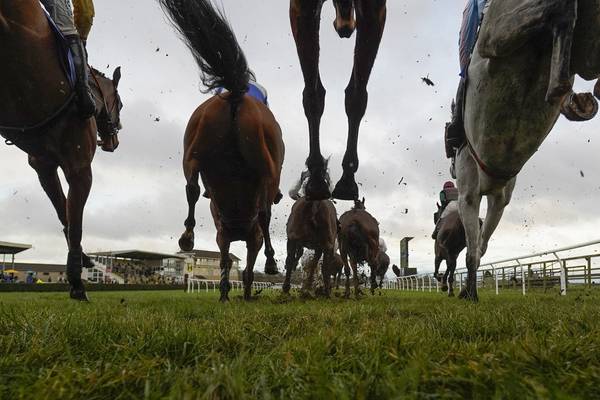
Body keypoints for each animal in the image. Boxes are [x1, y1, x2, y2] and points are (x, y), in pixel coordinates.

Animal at [0, 0, 123, 300]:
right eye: (121, 104)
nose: (114, 141)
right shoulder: (79, 167)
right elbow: (75, 219)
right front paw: (77, 280)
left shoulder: (43, 164)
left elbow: (62, 210)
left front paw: (83, 262)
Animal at [161, 0, 284, 302]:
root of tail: (236, 94)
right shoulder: (248, 238)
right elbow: (245, 263)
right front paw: (244, 291)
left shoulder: (223, 235)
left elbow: (228, 260)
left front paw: (228, 293)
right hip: (265, 165)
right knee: (264, 212)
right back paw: (271, 261)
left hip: (193, 151)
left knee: (191, 187)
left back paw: (187, 237)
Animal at [290, 0, 390, 200]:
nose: (345, 26)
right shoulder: (302, 8)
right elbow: (313, 95)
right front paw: (316, 178)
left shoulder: (374, 10)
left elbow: (356, 96)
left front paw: (347, 180)